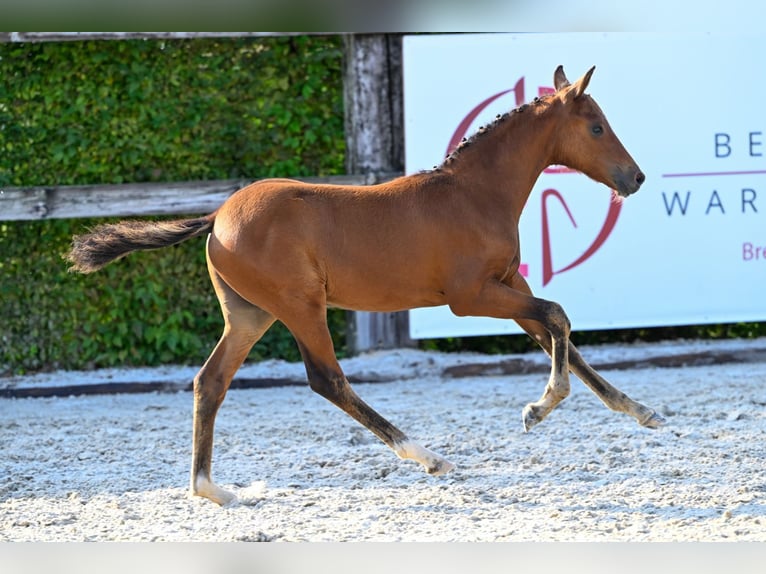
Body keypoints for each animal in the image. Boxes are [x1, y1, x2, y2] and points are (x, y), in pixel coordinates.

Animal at [66, 66, 664, 508]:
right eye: (596, 127)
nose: (634, 177)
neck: (474, 194)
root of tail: (217, 217)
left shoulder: (506, 283)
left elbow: (556, 334)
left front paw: (639, 410)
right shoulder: (470, 297)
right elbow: (557, 315)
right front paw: (539, 408)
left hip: (250, 314)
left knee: (210, 382)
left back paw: (212, 490)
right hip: (300, 306)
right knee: (327, 379)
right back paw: (427, 456)